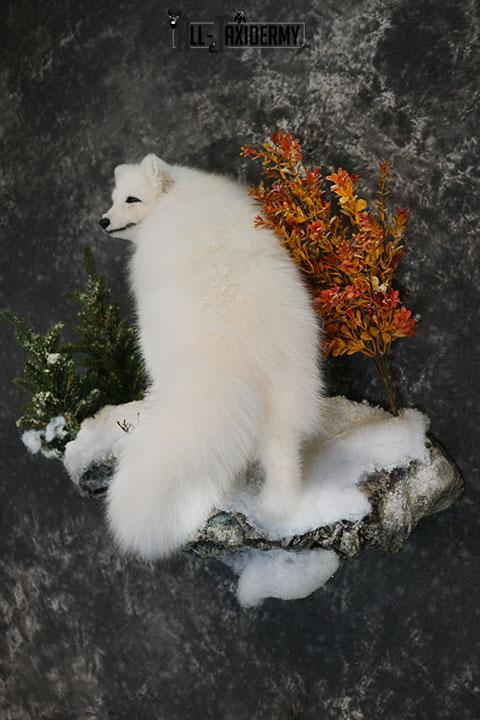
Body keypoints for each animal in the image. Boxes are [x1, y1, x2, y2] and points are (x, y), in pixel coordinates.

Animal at [100, 153, 324, 559]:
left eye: (131, 199)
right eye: (113, 198)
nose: (103, 221)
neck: (178, 197)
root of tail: (239, 349)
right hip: (287, 394)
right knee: (280, 453)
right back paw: (277, 506)